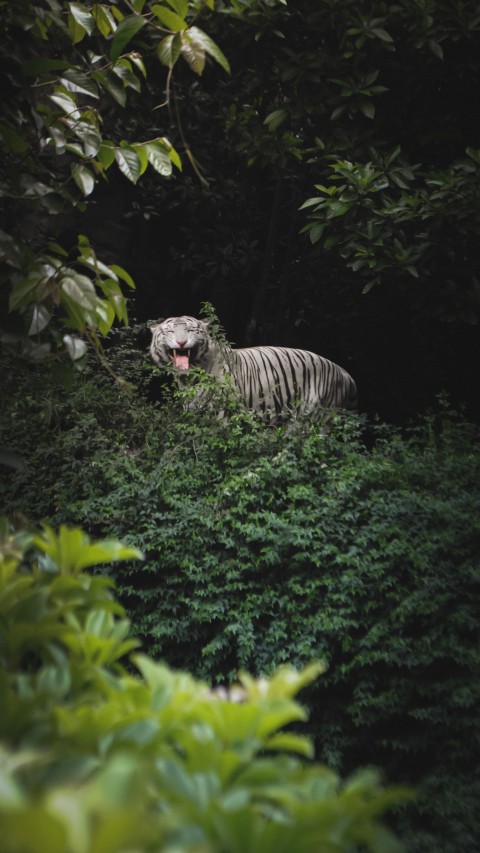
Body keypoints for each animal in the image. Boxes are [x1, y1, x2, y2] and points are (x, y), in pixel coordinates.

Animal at [149, 315, 358, 418]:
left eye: (191, 330)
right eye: (170, 331)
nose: (182, 342)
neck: (188, 378)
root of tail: (346, 374)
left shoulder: (223, 411)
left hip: (317, 414)